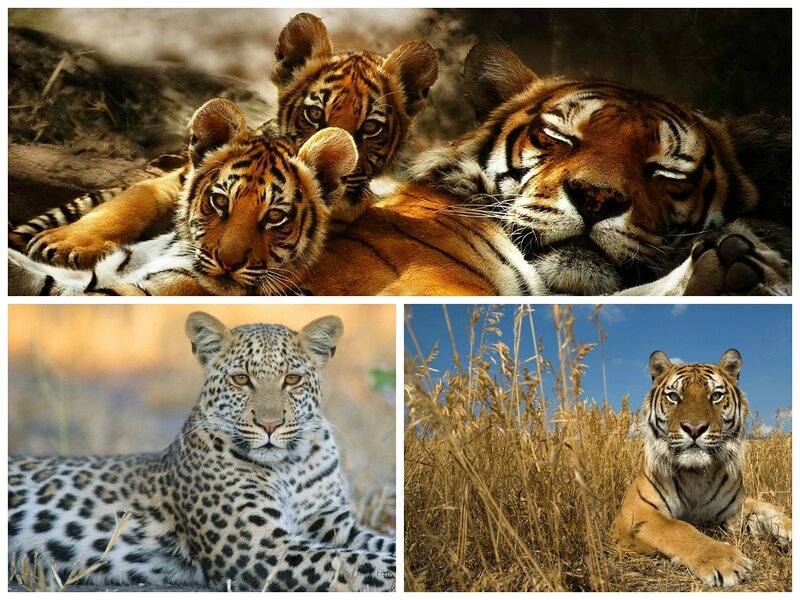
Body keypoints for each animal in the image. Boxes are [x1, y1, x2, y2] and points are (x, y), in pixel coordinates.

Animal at [9, 12, 438, 267]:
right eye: (314, 114)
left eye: (371, 128)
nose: (338, 163)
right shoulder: (175, 182)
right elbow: (127, 206)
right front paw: (67, 243)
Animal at [611, 349, 792, 587]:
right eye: (674, 396)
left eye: (715, 396)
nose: (694, 428)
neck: (695, 473)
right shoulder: (635, 511)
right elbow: (678, 528)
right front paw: (727, 560)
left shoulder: (736, 508)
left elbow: (770, 509)